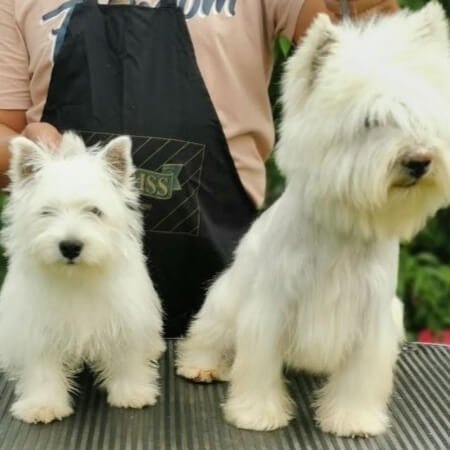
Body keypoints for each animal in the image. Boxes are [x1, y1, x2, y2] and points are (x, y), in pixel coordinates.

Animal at [0, 132, 164, 424]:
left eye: (95, 211)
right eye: (46, 212)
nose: (70, 246)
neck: (77, 277)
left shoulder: (124, 318)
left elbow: (127, 357)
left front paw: (131, 392)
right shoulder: (39, 328)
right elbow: (43, 368)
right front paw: (43, 404)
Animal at [176, 3, 450, 438]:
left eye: (422, 117)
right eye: (370, 121)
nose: (419, 161)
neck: (345, 227)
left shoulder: (372, 317)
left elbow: (359, 376)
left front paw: (352, 418)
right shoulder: (270, 307)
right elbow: (259, 366)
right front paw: (256, 413)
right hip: (225, 299)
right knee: (208, 334)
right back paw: (201, 365)